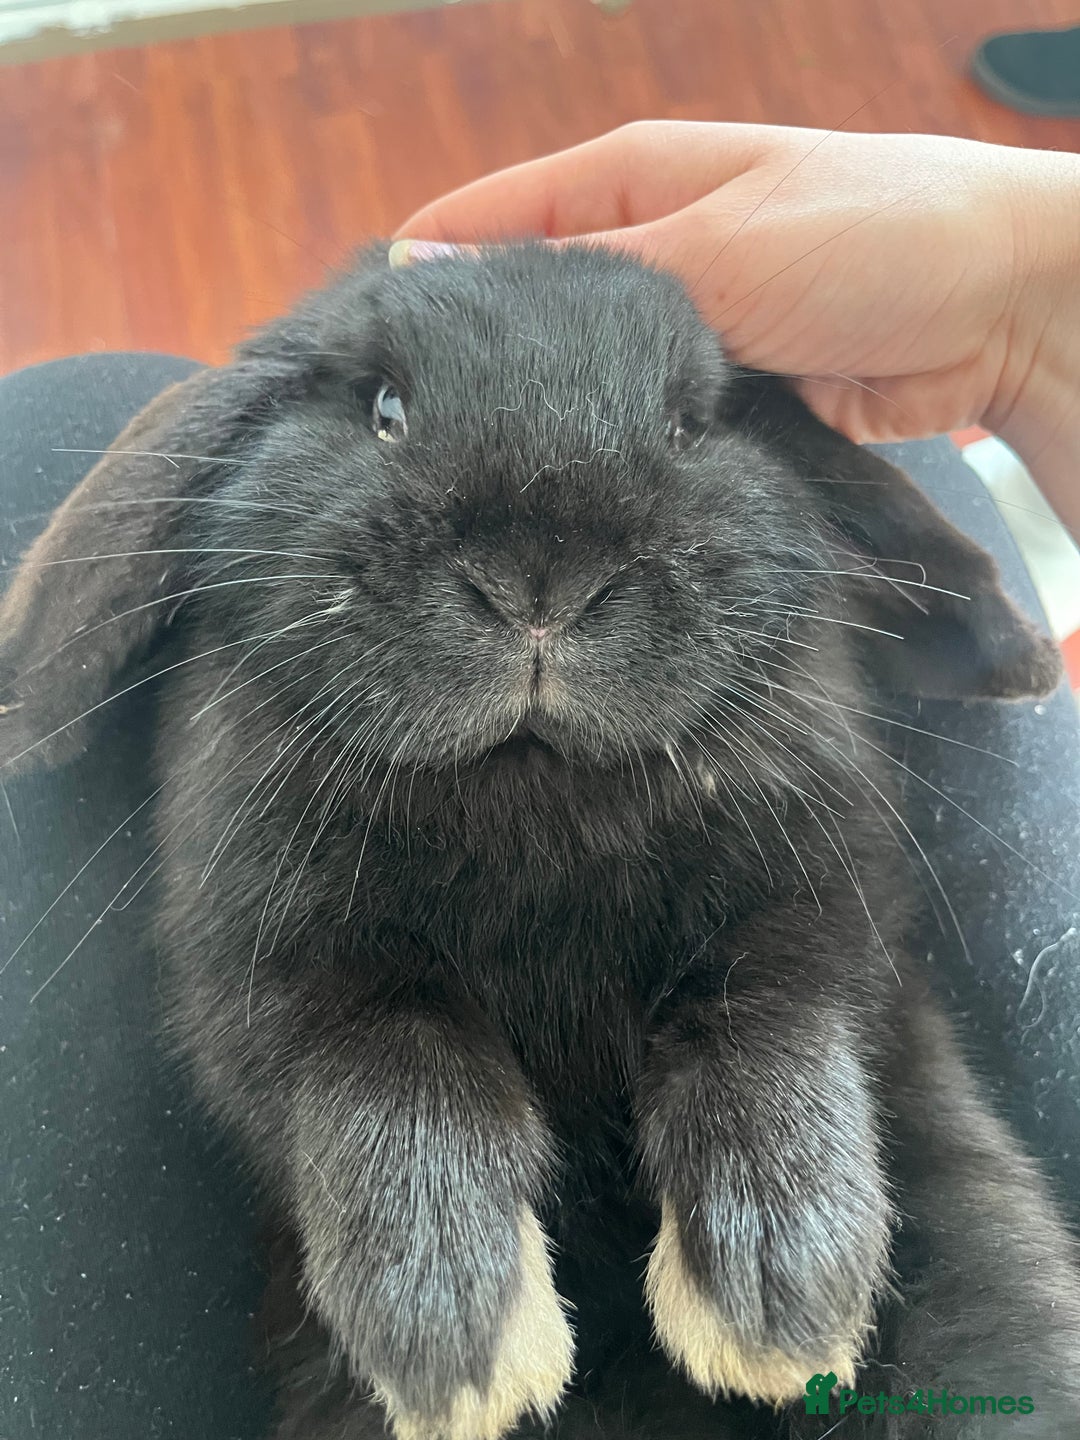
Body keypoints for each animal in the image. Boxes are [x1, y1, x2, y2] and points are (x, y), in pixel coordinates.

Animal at [1, 242, 1078, 1440]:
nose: (541, 583)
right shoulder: (260, 971)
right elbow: (390, 1067)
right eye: (382, 407)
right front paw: (457, 1336)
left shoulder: (836, 913)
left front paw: (782, 1298)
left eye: (691, 423)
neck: (533, 789)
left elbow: (766, 1021)